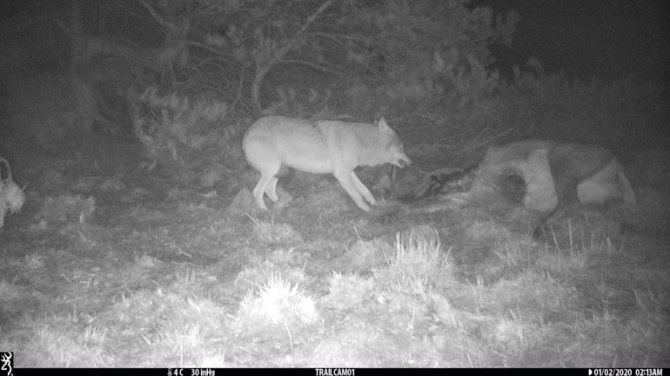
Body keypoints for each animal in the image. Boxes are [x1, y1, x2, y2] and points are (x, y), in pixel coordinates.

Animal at [242, 117, 410, 212]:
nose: (411, 162)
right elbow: (356, 194)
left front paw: (374, 203)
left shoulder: (349, 172)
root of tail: (246, 134)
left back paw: (281, 204)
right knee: (257, 191)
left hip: (277, 170)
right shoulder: (341, 174)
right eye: (402, 148)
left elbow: (364, 190)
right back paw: (265, 211)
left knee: (269, 190)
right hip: (272, 169)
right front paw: (366, 209)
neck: (359, 141)